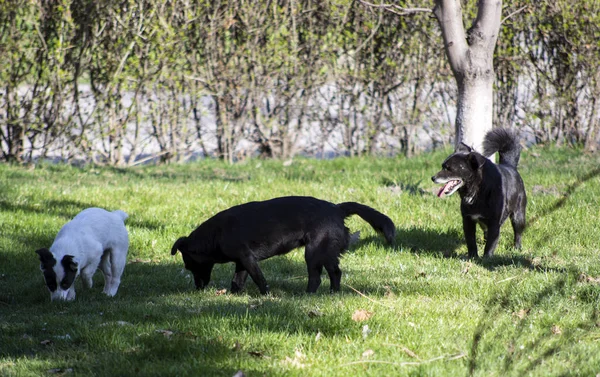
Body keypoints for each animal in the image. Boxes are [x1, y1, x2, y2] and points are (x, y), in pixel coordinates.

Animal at [170, 195, 394, 296]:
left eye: (189, 266)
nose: (198, 288)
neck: (214, 235)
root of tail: (337, 208)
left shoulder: (247, 259)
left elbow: (259, 280)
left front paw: (266, 296)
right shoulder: (242, 261)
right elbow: (237, 280)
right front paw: (233, 295)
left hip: (314, 252)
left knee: (317, 277)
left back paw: (307, 295)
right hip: (325, 252)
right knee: (335, 273)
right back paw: (332, 293)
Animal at [432, 128, 524, 258]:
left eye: (448, 168)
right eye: (442, 166)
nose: (433, 178)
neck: (477, 190)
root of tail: (509, 166)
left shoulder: (494, 223)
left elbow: (490, 244)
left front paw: (486, 258)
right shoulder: (468, 221)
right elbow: (471, 241)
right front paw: (473, 257)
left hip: (518, 216)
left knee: (518, 233)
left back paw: (517, 248)